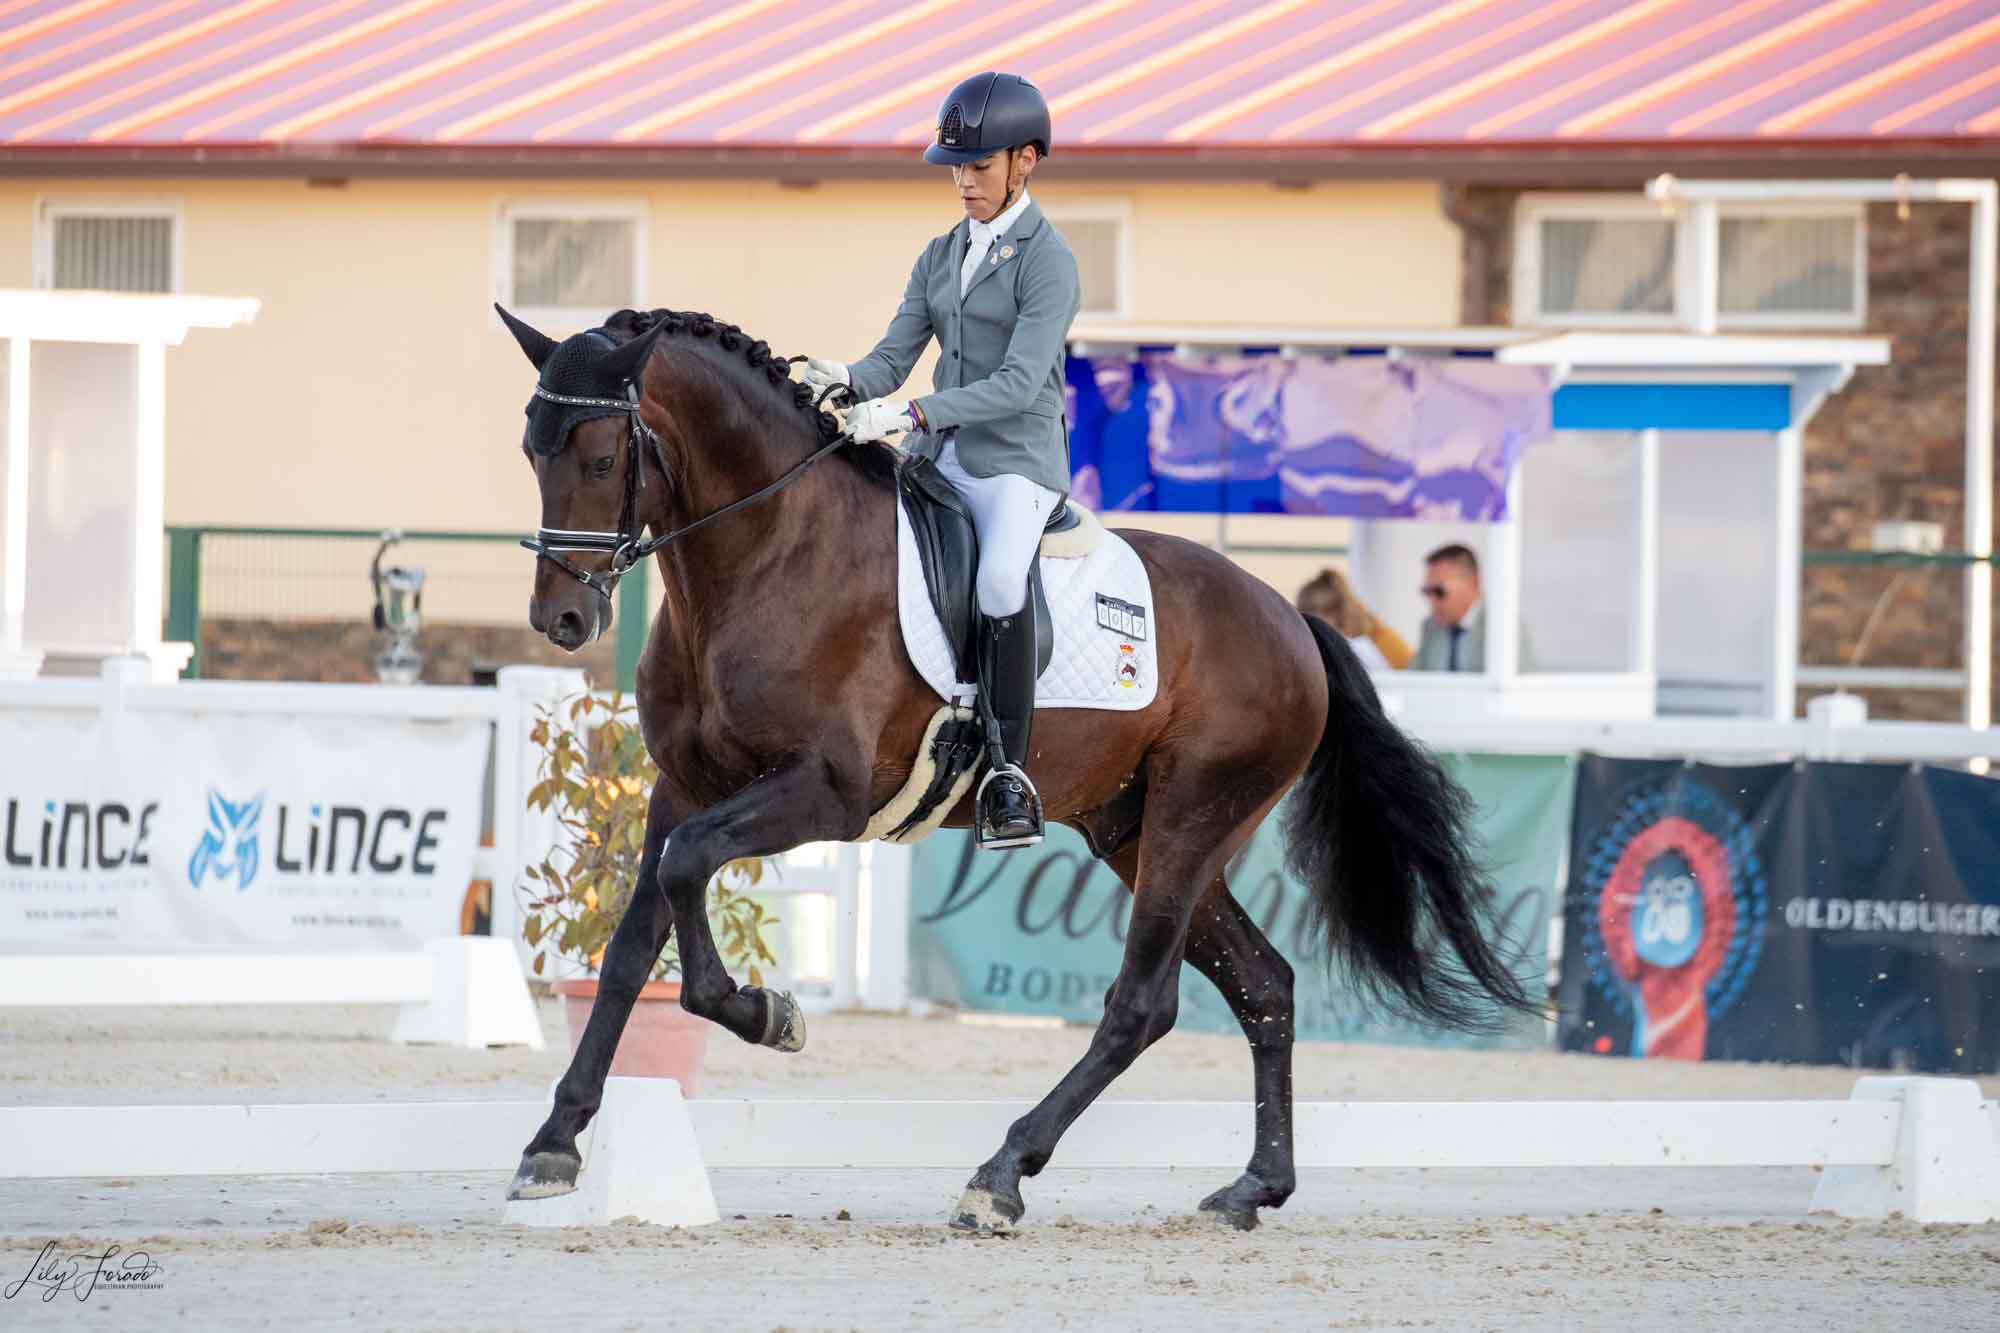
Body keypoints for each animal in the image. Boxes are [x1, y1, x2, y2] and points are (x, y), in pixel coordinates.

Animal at [500, 306, 1528, 1232]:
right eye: (530, 454)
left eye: (601, 459)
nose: (563, 620)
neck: (765, 551)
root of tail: (1291, 621)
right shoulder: (683, 789)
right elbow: (633, 945)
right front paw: (553, 1145)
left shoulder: (824, 794)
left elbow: (683, 885)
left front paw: (766, 1012)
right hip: (1134, 830)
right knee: (1264, 984)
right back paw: (1253, 1188)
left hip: (1192, 819)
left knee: (1143, 1004)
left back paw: (1000, 1176)